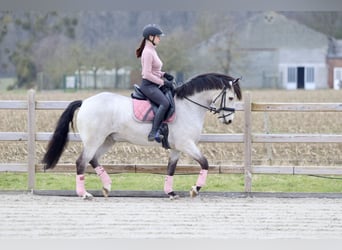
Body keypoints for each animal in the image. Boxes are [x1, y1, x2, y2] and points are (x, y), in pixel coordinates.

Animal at [41, 72, 242, 199]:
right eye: (231, 98)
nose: (229, 120)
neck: (188, 106)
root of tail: (85, 102)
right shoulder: (186, 144)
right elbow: (205, 163)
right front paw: (194, 189)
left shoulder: (177, 148)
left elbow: (171, 169)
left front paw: (171, 193)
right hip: (94, 140)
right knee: (81, 162)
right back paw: (84, 194)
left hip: (107, 140)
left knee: (93, 160)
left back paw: (106, 186)